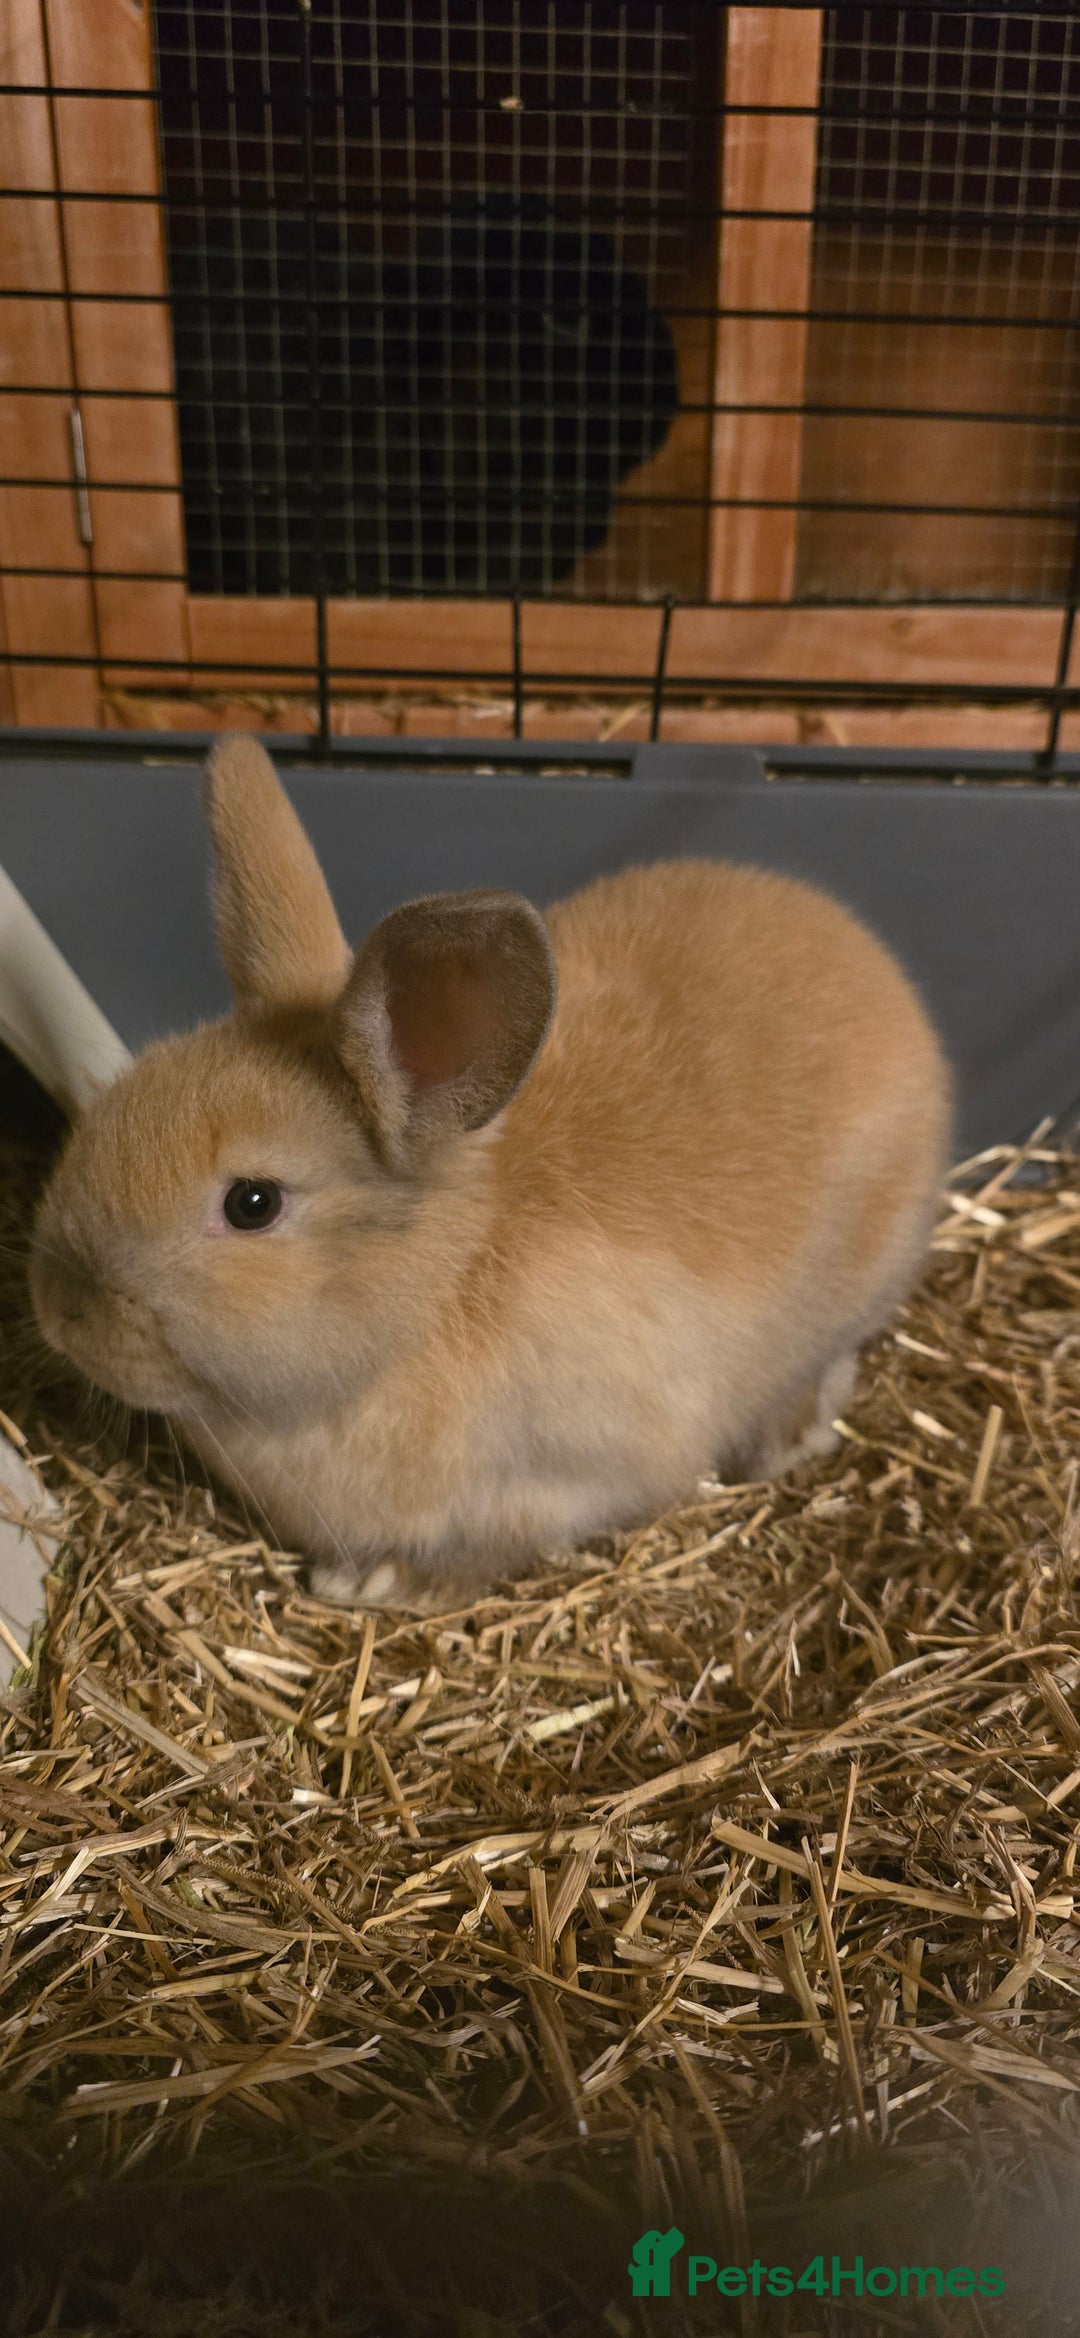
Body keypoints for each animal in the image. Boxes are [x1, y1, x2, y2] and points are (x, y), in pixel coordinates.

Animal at [30, 735, 952, 1614]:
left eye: (252, 1204)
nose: (59, 1312)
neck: (433, 1292)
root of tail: (878, 971)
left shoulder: (579, 1474)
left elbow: (500, 1544)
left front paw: (381, 1585)